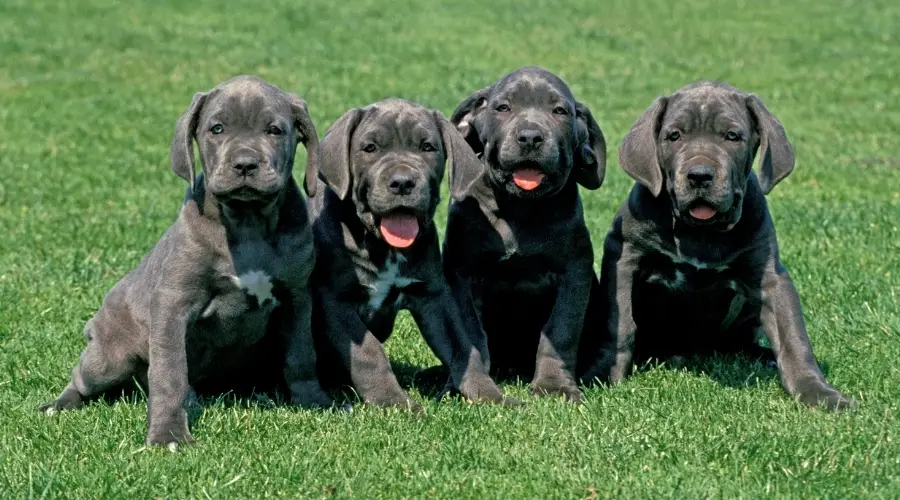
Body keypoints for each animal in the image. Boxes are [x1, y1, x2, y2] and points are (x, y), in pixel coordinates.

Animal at [39, 76, 334, 448]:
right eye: (217, 128)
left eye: (274, 130)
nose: (245, 164)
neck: (248, 222)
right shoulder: (173, 303)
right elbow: (170, 373)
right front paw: (167, 433)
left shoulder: (296, 297)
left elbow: (301, 355)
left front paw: (315, 401)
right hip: (109, 358)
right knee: (82, 377)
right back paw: (59, 405)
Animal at [308, 97, 512, 410]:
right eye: (370, 148)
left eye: (427, 147)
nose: (402, 182)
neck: (384, 247)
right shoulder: (335, 300)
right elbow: (369, 354)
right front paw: (393, 401)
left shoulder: (433, 295)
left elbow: (462, 346)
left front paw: (489, 394)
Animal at [434, 67, 604, 402]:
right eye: (503, 108)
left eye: (559, 111)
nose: (530, 137)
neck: (519, 210)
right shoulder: (460, 272)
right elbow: (470, 333)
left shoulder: (575, 270)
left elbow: (560, 331)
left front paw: (555, 387)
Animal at [592, 81, 856, 410]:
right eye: (674, 136)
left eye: (732, 136)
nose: (699, 176)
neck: (700, 232)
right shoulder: (624, 254)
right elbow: (620, 324)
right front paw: (604, 374)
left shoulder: (770, 277)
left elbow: (793, 337)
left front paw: (818, 392)